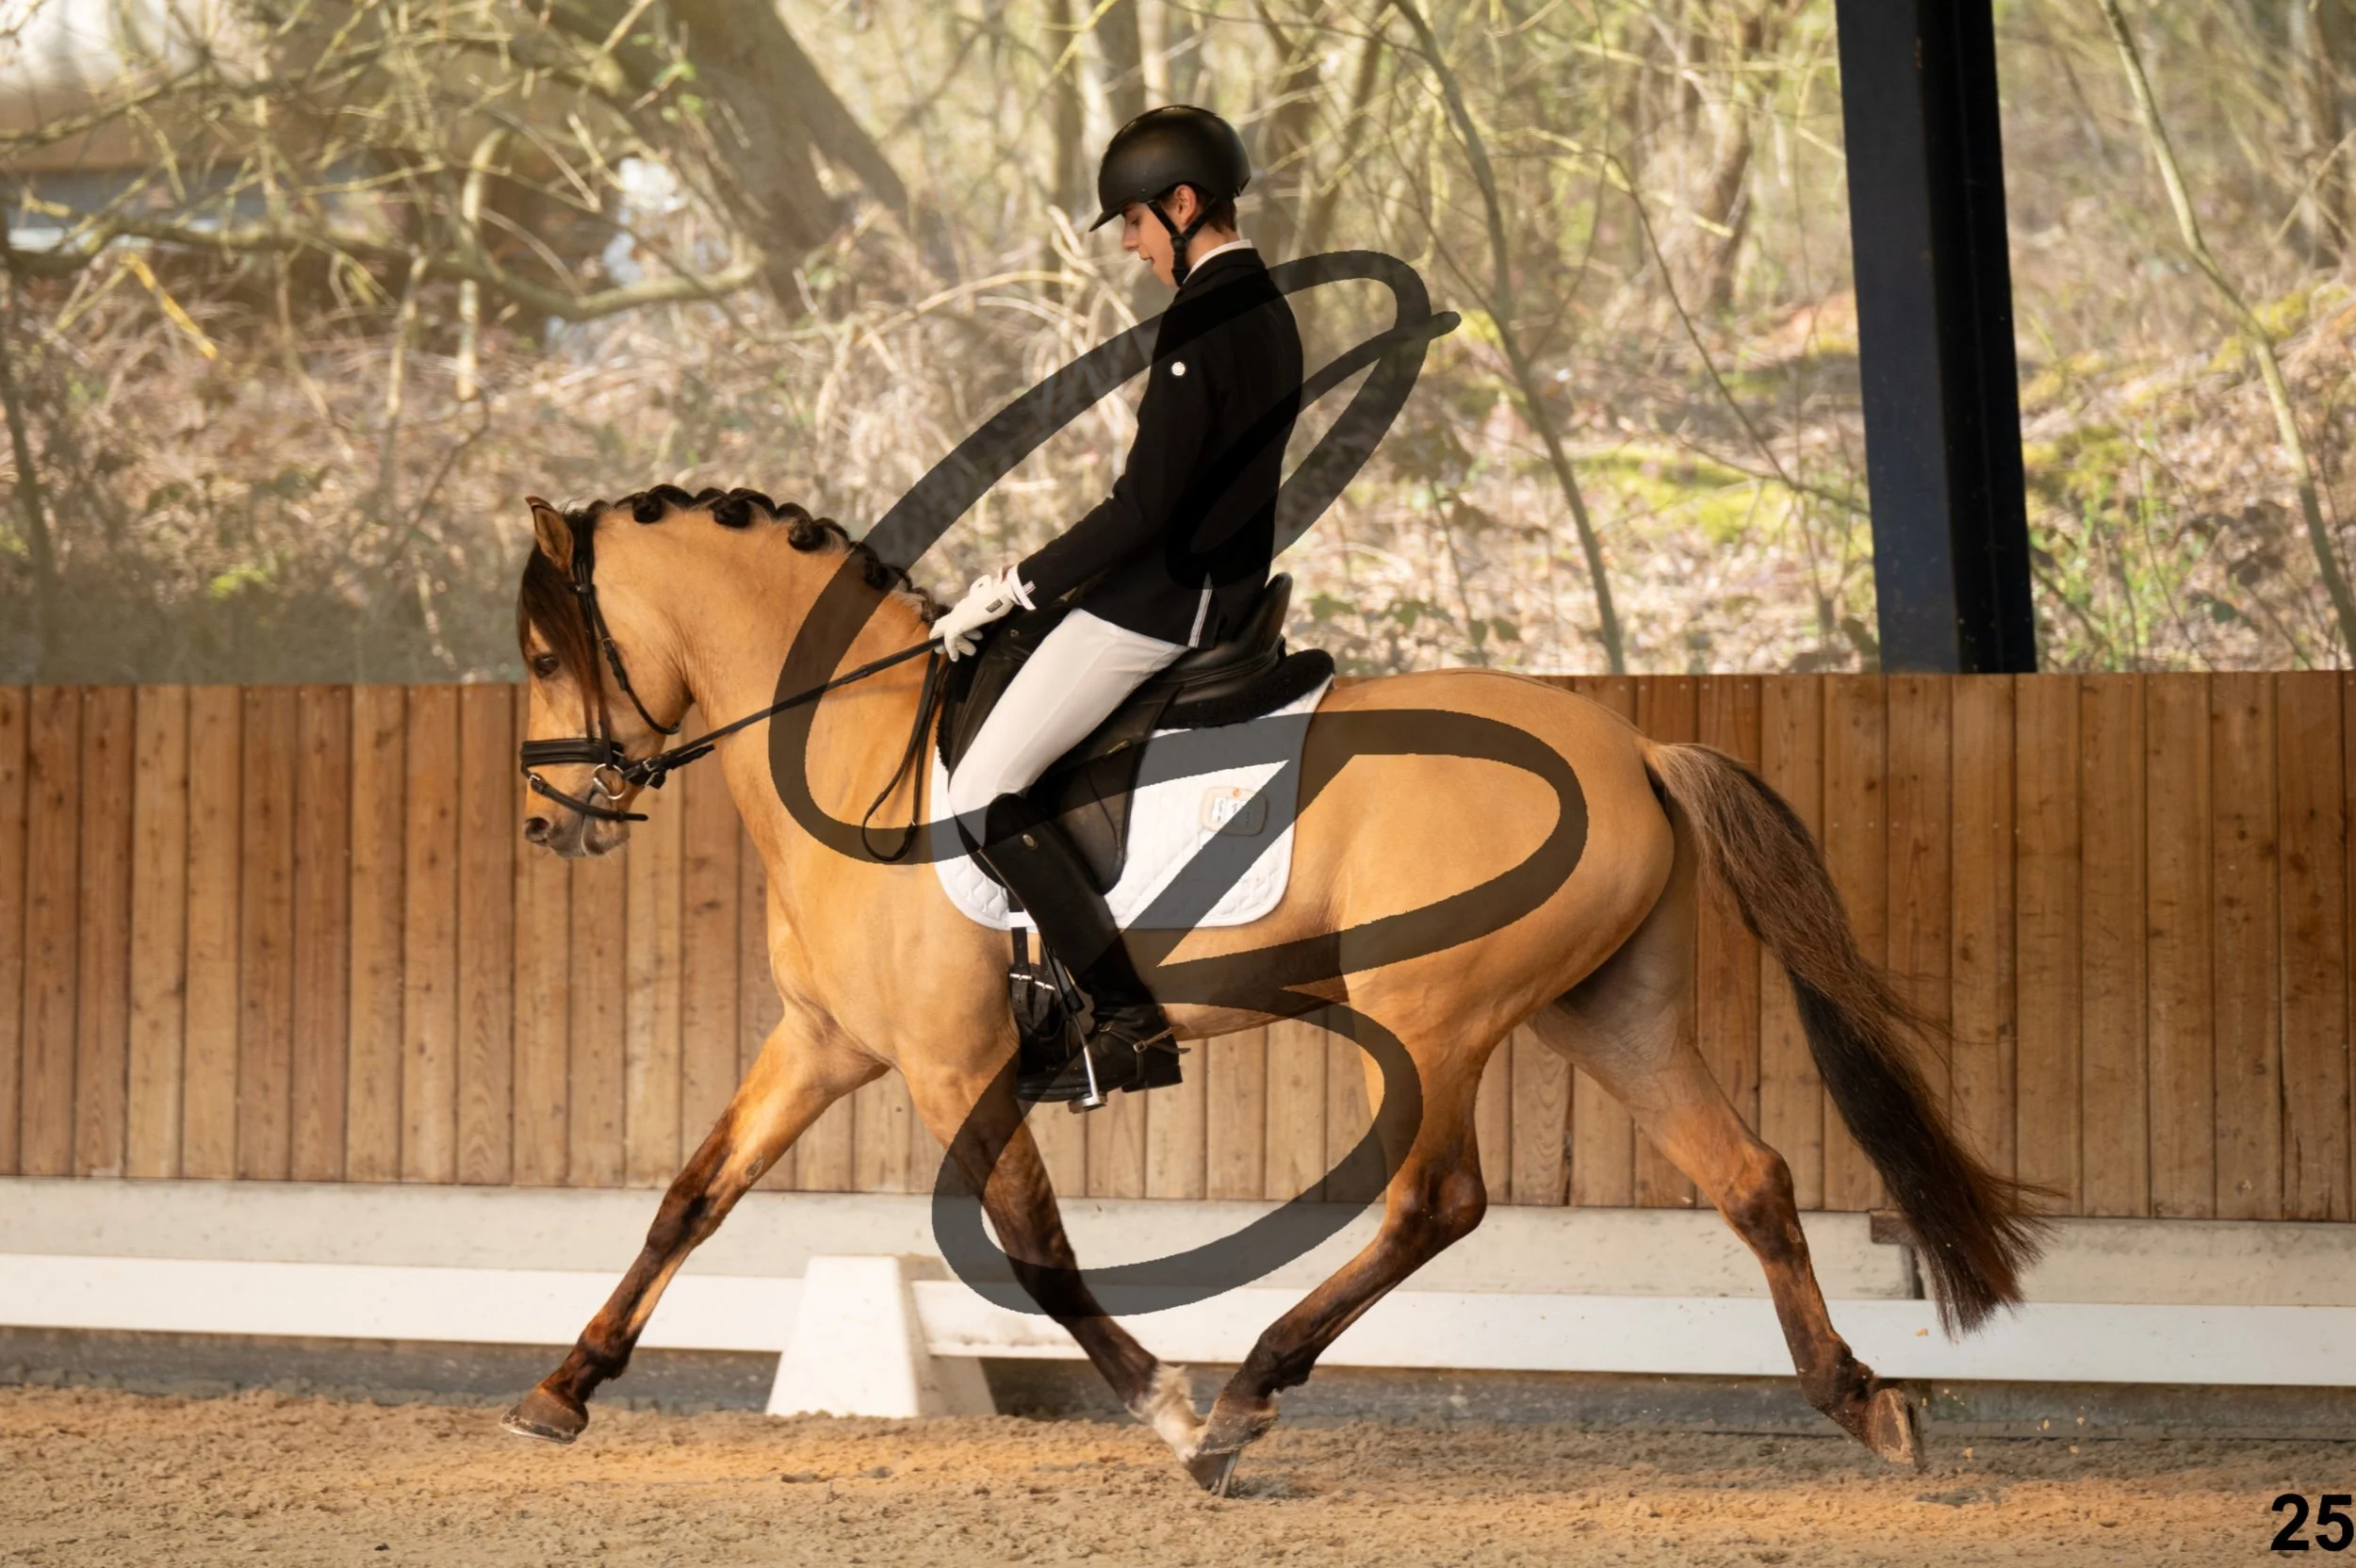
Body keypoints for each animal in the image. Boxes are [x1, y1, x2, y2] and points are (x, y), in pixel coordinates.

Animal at [498, 483, 2042, 1491]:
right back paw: (1863, 1402)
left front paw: (1173, 1417)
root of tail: (1635, 748)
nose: (546, 822)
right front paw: (561, 1389)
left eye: (540, 650)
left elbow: (1040, 1255)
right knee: (1749, 1176)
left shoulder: (954, 1064)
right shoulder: (822, 1042)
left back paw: (1246, 1393)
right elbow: (693, 1195)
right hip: (1610, 1009)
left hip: (1429, 1014)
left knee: (1436, 1202)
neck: (858, 754)